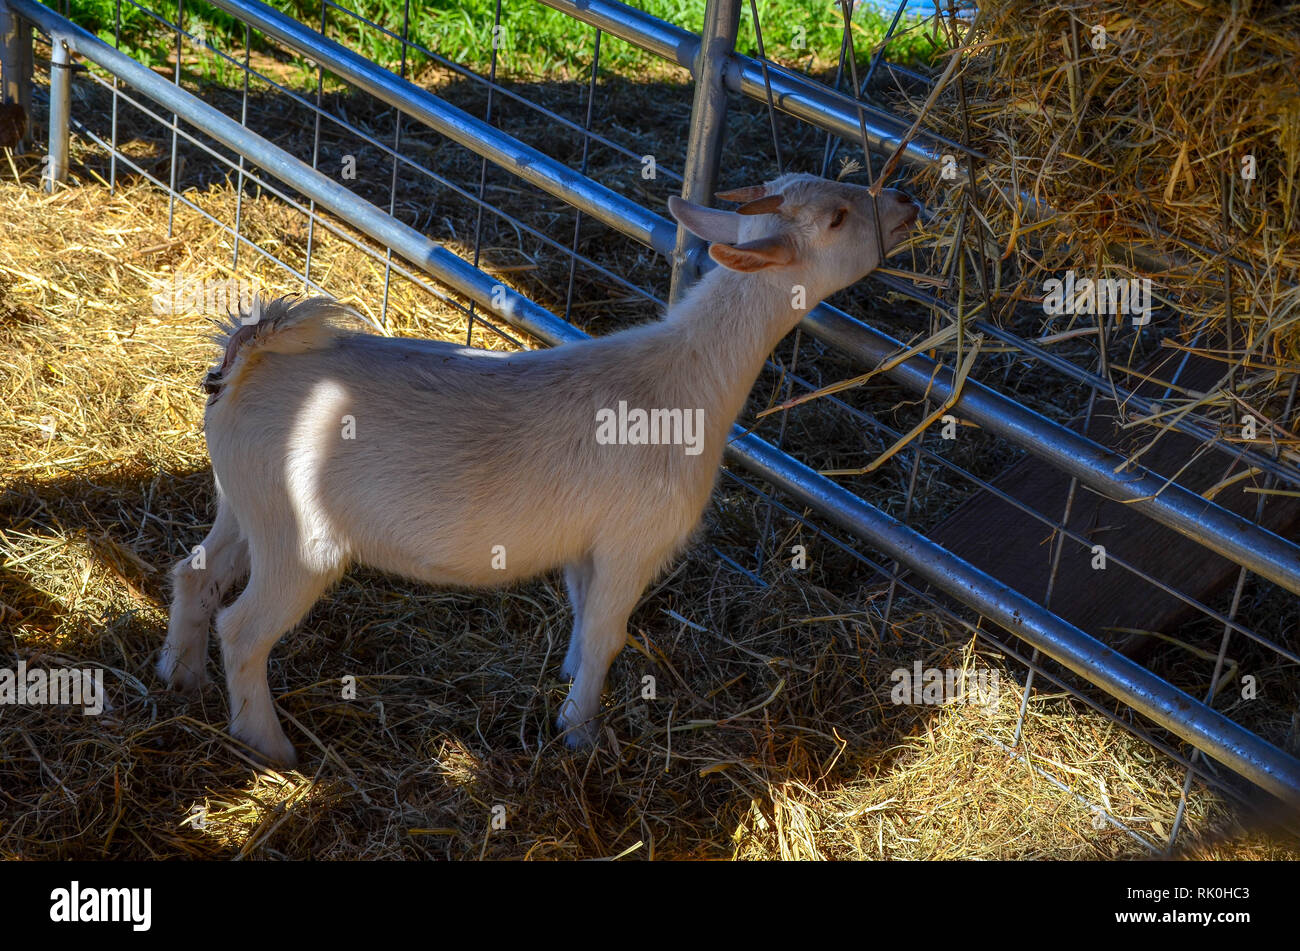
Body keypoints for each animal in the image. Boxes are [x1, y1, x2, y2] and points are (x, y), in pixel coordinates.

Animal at [159, 171, 915, 763]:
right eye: (837, 218)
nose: (907, 201)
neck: (686, 381)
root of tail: (248, 361)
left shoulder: (587, 545)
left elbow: (583, 623)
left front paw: (569, 685)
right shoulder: (633, 543)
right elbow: (609, 634)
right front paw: (579, 734)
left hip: (243, 502)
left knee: (196, 573)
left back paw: (179, 677)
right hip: (298, 537)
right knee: (243, 629)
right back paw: (270, 745)